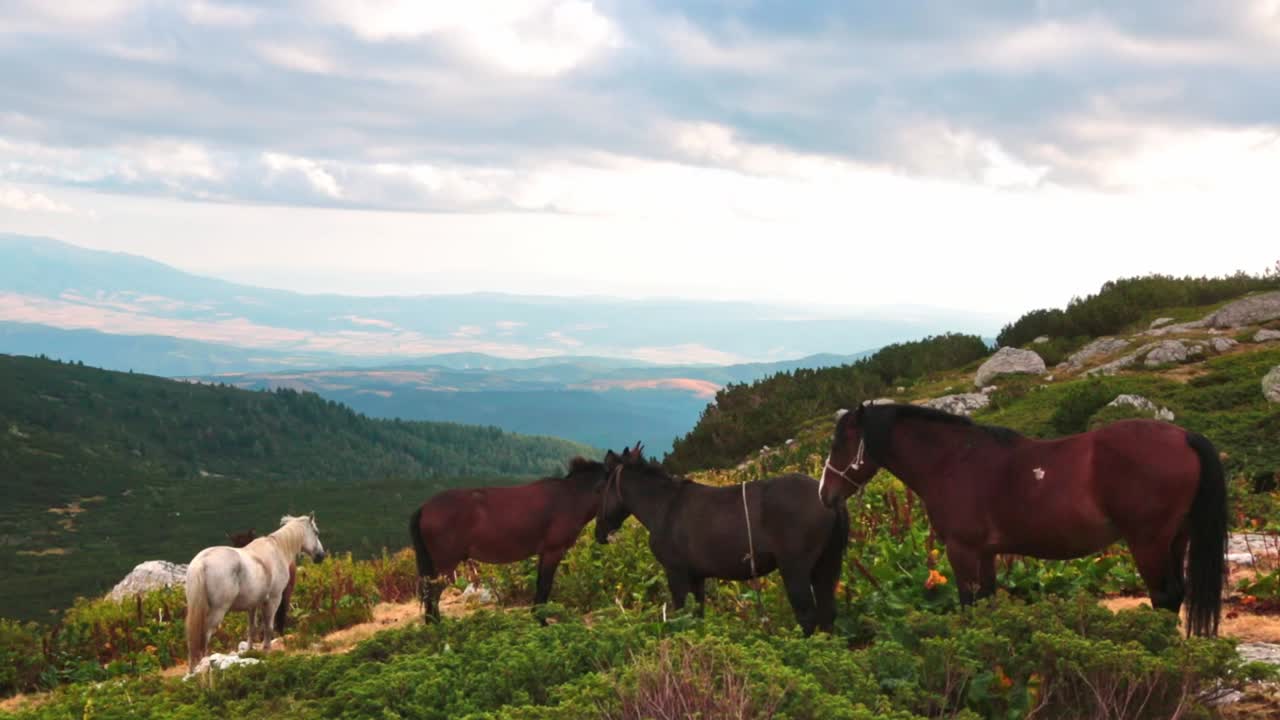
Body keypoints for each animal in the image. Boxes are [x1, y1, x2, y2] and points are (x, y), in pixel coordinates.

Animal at [185, 514, 326, 670]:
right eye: (316, 532)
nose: (321, 555)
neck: (278, 549)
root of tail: (201, 562)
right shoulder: (274, 599)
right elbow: (269, 627)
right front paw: (266, 650)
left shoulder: (252, 604)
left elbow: (252, 628)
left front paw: (250, 651)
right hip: (218, 610)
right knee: (206, 634)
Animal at [408, 452, 614, 621]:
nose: (604, 535)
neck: (570, 498)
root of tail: (425, 507)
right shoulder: (553, 551)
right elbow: (544, 586)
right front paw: (541, 621)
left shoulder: (544, 553)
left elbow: (540, 585)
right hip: (445, 566)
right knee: (433, 595)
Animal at [595, 445, 849, 636]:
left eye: (601, 488)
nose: (599, 533)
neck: (664, 507)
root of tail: (829, 498)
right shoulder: (696, 576)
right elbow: (697, 615)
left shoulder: (676, 572)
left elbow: (682, 613)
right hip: (827, 563)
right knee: (827, 614)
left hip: (795, 569)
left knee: (807, 616)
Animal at [819, 403, 1227, 636]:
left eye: (839, 443)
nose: (825, 494)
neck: (955, 461)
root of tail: (1185, 437)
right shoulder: (985, 553)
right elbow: (986, 601)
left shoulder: (962, 551)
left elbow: (968, 603)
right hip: (1176, 539)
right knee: (1176, 595)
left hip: (1148, 543)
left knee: (1164, 596)